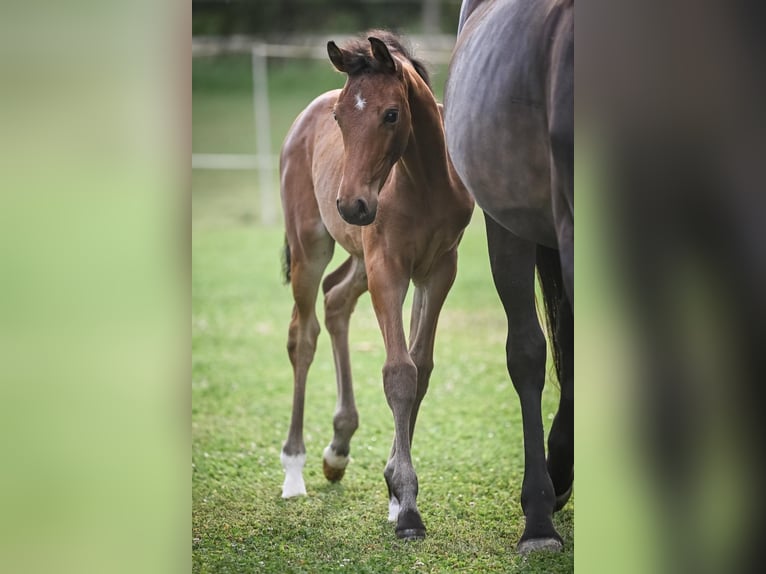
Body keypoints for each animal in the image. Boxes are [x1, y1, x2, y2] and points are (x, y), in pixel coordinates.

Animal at [279, 31, 474, 540]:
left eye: (390, 114)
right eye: (340, 117)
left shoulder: (437, 270)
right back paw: (294, 468)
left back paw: (337, 448)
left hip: (359, 260)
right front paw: (406, 508)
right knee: (303, 334)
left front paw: (395, 494)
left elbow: (421, 368)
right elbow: (399, 373)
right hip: (312, 247)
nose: (352, 205)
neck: (424, 183)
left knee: (336, 301)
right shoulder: (389, 267)